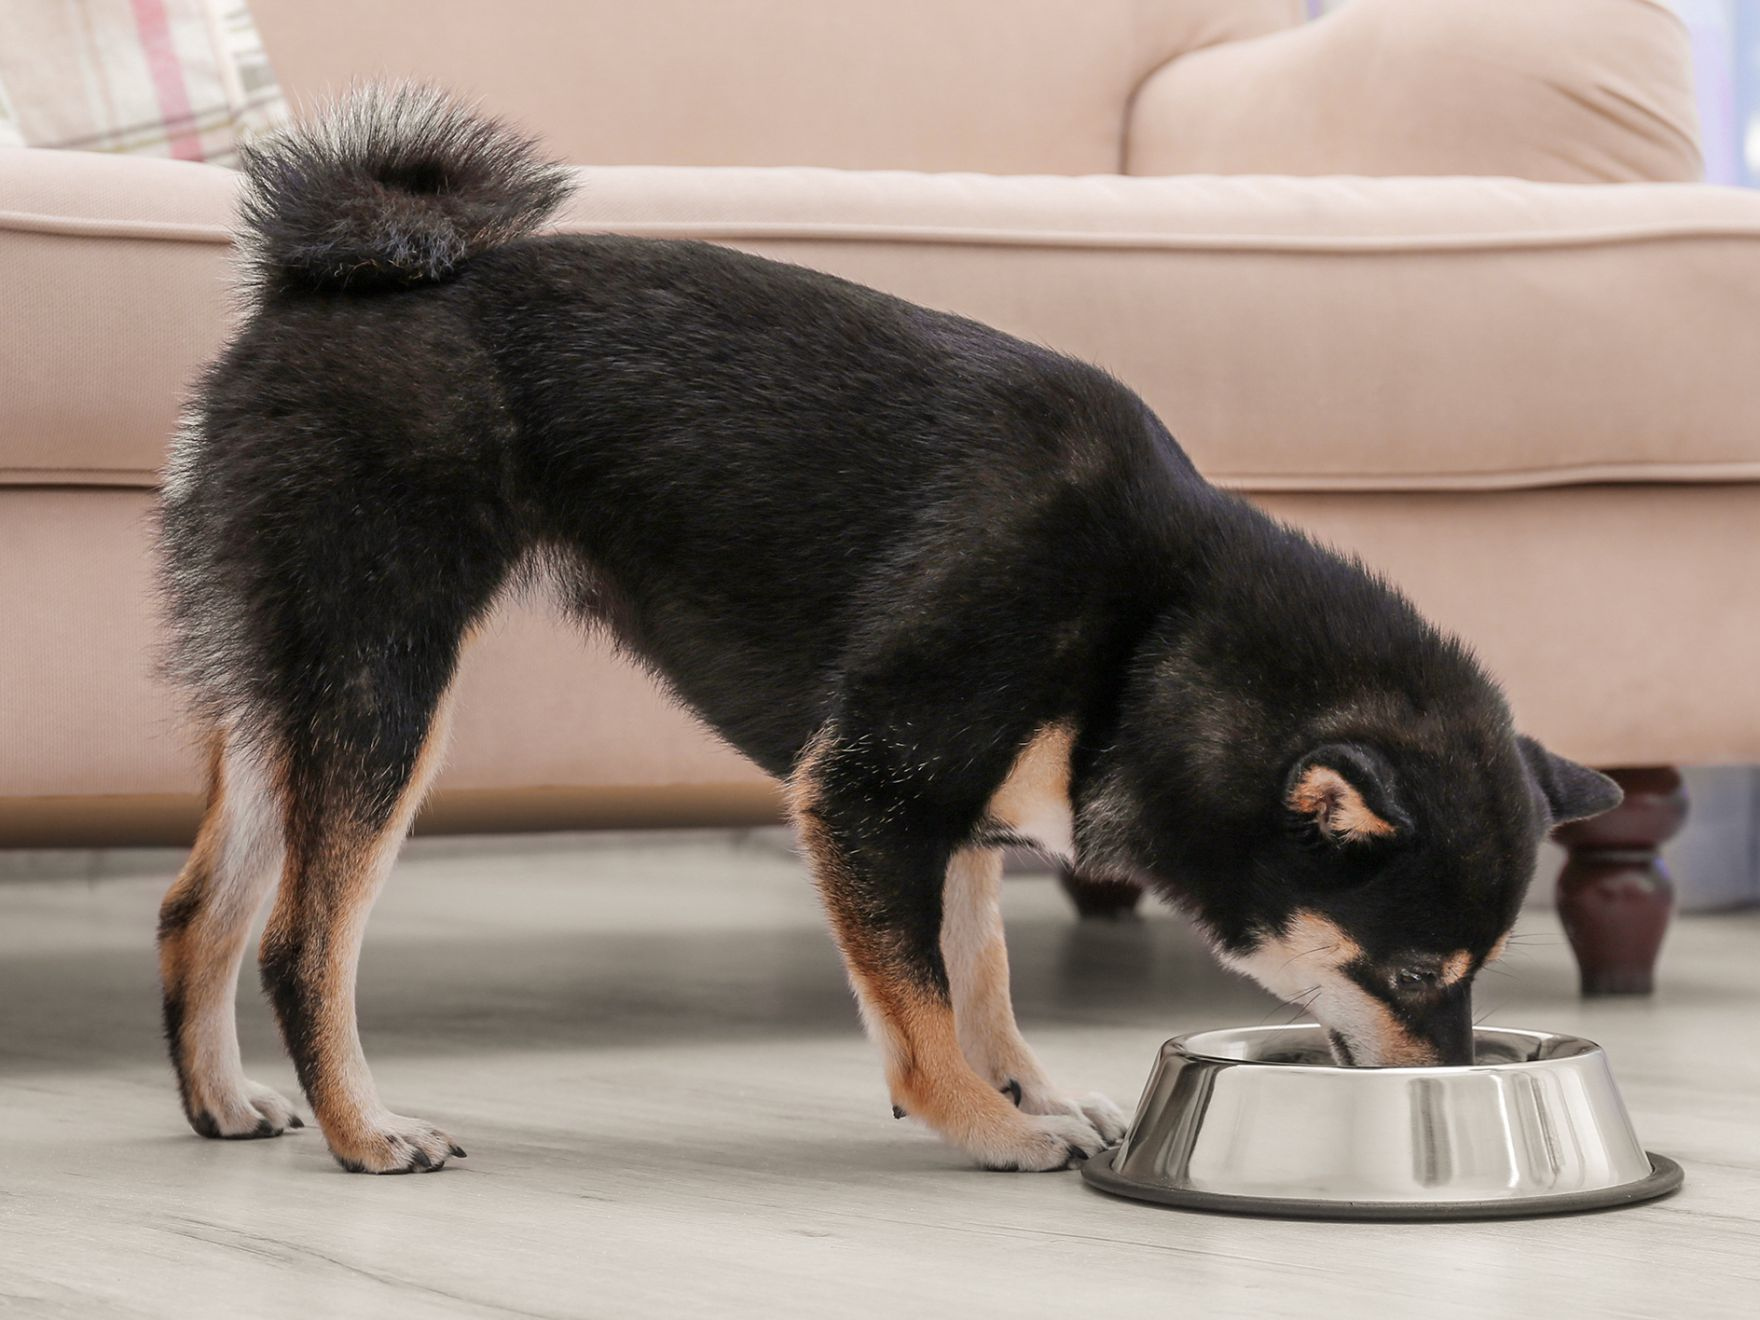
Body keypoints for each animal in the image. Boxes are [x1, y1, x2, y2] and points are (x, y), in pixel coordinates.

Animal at [158, 88, 1612, 1175]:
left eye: (1477, 973)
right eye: (1415, 971)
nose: (1455, 1078)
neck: (1150, 612)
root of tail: (316, 287)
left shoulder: (952, 812)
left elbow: (982, 980)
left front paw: (1028, 1091)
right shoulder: (865, 794)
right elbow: (917, 1015)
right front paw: (986, 1127)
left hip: (285, 689)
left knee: (196, 909)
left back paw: (222, 1103)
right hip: (387, 681)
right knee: (298, 941)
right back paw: (364, 1130)